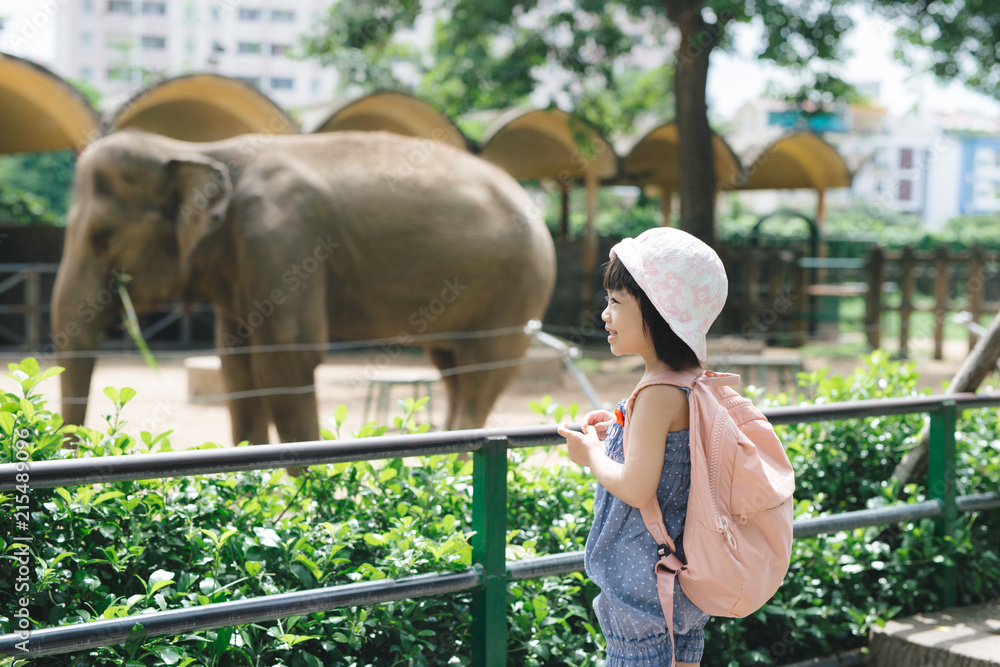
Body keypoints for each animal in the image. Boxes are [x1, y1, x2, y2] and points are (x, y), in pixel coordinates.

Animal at [52, 129, 556, 444]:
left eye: (102, 237)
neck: (198, 148)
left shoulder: (283, 239)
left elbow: (286, 360)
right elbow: (238, 368)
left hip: (517, 291)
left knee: (481, 375)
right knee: (453, 368)